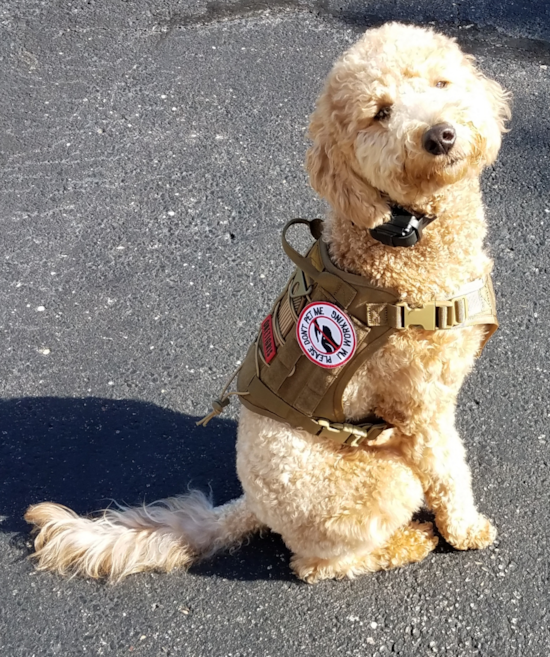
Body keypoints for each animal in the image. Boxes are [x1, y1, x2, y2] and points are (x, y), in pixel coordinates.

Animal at [23, 23, 512, 580]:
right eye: (381, 113)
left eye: (441, 83)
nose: (440, 134)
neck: (400, 236)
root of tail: (251, 504)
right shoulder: (420, 408)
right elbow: (449, 472)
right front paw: (466, 530)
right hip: (382, 479)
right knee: (317, 565)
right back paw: (410, 541)